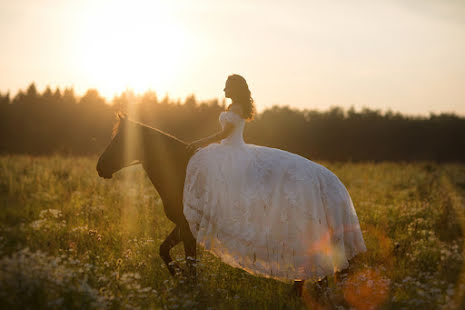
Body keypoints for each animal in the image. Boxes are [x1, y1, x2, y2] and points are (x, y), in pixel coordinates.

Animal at [95, 112, 195, 278]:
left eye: (118, 141)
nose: (99, 166)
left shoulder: (188, 227)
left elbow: (192, 266)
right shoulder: (182, 225)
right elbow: (163, 249)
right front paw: (179, 274)